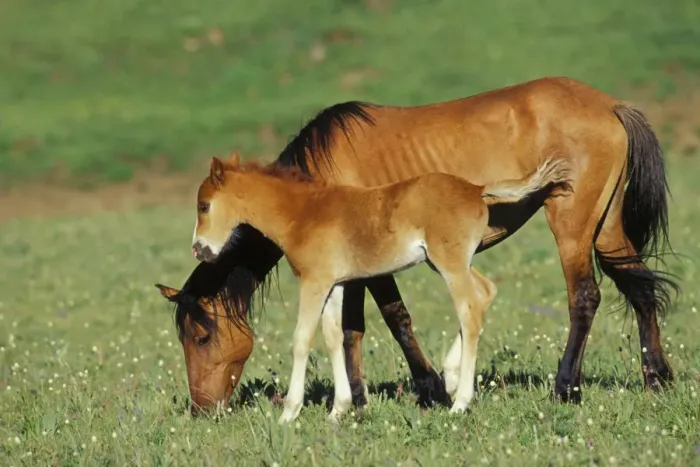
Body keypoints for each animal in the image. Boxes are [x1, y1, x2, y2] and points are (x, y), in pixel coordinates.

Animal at [191, 152, 571, 422]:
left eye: (204, 205)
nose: (199, 249)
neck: (303, 213)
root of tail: (475, 190)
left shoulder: (314, 282)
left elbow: (301, 339)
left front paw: (289, 412)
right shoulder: (336, 284)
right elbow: (333, 337)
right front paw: (339, 410)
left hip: (449, 263)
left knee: (470, 309)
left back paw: (460, 402)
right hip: (448, 262)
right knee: (486, 292)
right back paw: (450, 377)